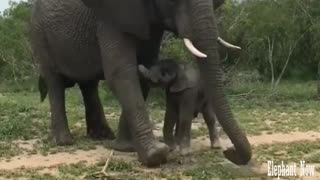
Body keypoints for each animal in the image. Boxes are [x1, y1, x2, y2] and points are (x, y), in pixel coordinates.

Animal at [30, 0, 250, 167]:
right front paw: (156, 154)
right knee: (55, 83)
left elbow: (142, 67)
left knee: (88, 84)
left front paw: (125, 148)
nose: (230, 152)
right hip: (40, 35)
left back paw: (102, 137)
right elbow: (121, 73)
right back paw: (64, 141)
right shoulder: (111, 17)